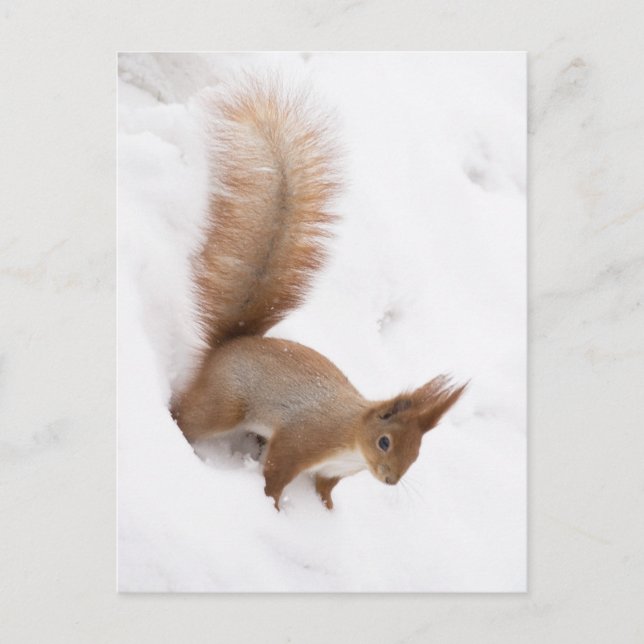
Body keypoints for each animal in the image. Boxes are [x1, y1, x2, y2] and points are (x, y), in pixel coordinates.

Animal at [171, 76, 467, 510]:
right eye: (385, 442)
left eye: (417, 453)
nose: (390, 481)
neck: (351, 444)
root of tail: (232, 344)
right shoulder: (302, 441)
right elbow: (276, 474)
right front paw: (274, 508)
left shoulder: (332, 472)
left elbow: (326, 488)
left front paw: (327, 511)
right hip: (226, 403)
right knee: (189, 415)